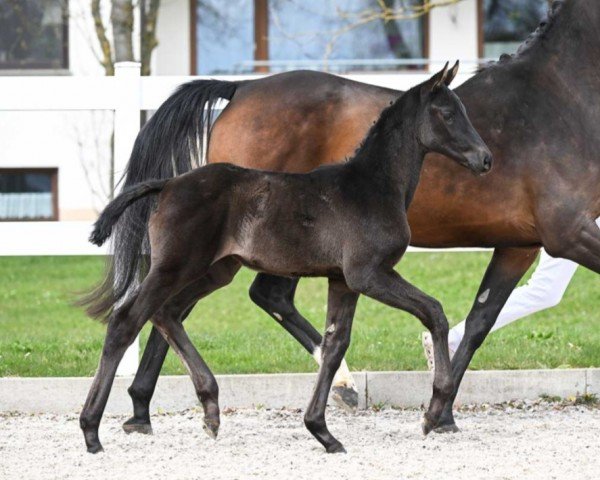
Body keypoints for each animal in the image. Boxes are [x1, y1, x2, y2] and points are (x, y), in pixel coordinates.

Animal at [79, 62, 492, 452]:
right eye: (448, 113)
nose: (485, 159)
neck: (372, 186)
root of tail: (168, 184)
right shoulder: (369, 274)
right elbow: (434, 311)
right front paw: (433, 413)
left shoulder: (342, 280)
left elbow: (335, 344)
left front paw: (322, 431)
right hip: (176, 266)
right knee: (126, 321)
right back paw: (92, 430)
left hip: (216, 270)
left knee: (166, 312)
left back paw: (209, 411)